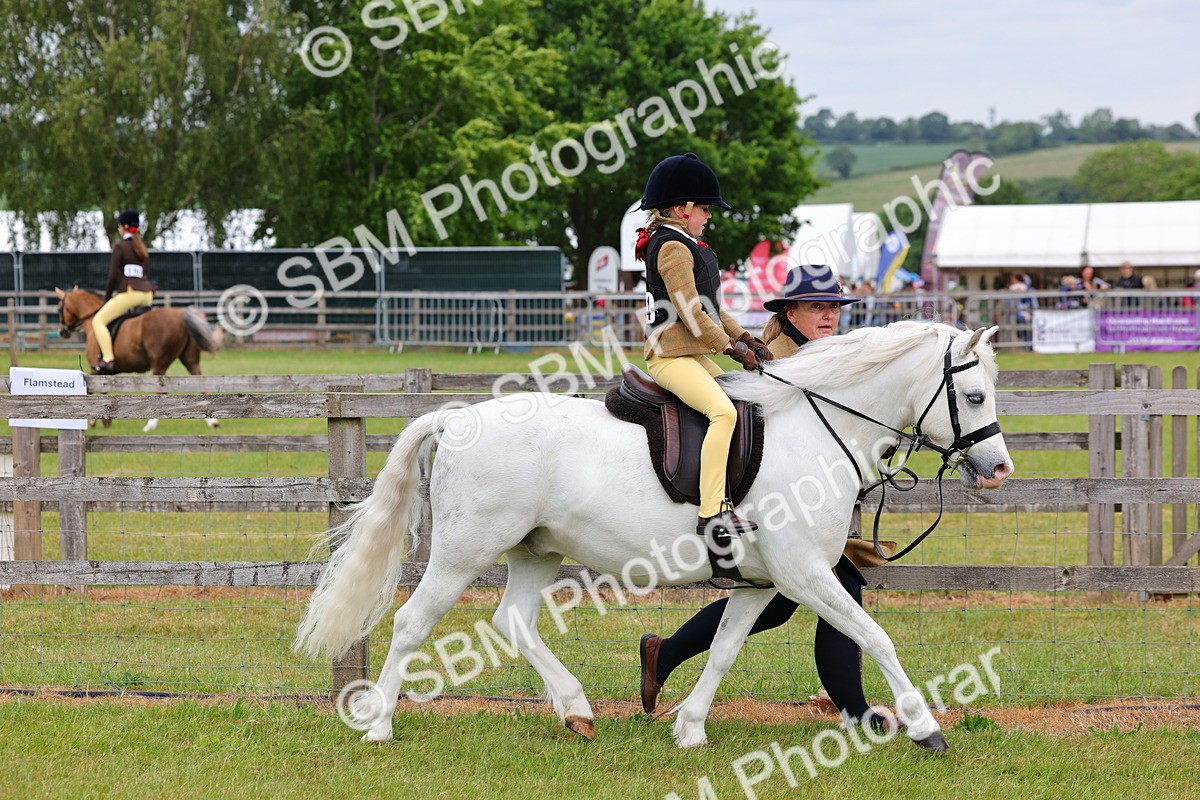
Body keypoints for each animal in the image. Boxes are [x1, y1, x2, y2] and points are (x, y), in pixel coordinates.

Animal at [55, 287, 224, 433]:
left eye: (59, 308)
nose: (62, 332)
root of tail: (181, 314)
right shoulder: (105, 373)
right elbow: (103, 392)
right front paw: (104, 419)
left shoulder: (95, 369)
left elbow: (91, 391)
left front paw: (94, 420)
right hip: (190, 360)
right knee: (201, 383)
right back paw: (212, 422)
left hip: (159, 363)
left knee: (160, 391)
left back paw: (150, 425)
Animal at [295, 322, 1014, 750]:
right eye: (976, 396)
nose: (1000, 469)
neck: (817, 430)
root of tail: (457, 417)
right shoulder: (806, 575)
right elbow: (874, 637)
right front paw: (924, 726)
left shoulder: (761, 583)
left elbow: (724, 650)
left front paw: (690, 729)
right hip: (462, 553)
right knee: (412, 622)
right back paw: (380, 725)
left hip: (536, 551)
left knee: (513, 621)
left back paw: (576, 708)